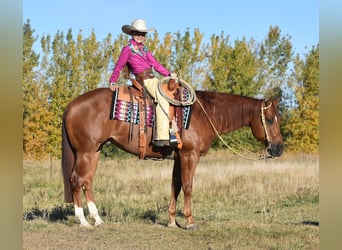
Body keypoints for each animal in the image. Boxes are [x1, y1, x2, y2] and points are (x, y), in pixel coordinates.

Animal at [61, 87, 284, 229]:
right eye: (269, 120)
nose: (278, 148)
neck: (205, 114)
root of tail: (71, 105)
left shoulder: (179, 157)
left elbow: (175, 185)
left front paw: (171, 220)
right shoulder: (189, 155)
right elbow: (188, 185)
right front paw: (190, 221)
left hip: (94, 152)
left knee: (87, 181)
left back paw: (97, 219)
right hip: (86, 152)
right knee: (76, 179)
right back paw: (83, 221)